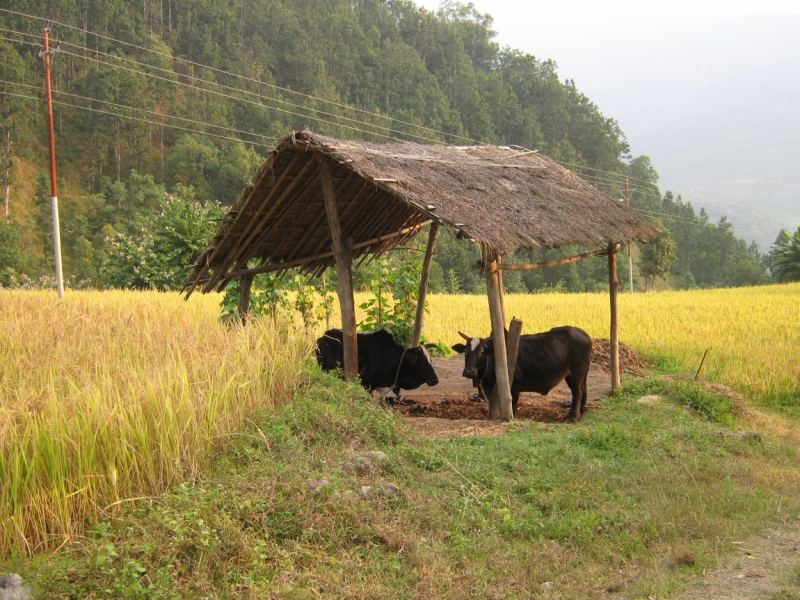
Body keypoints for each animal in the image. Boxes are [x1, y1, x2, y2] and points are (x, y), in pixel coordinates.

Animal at [454, 328, 592, 422]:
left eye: (482, 352)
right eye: (465, 351)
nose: (469, 371)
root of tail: (583, 333)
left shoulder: (515, 386)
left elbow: (513, 406)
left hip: (576, 373)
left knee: (577, 392)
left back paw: (572, 417)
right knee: (583, 389)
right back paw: (580, 413)